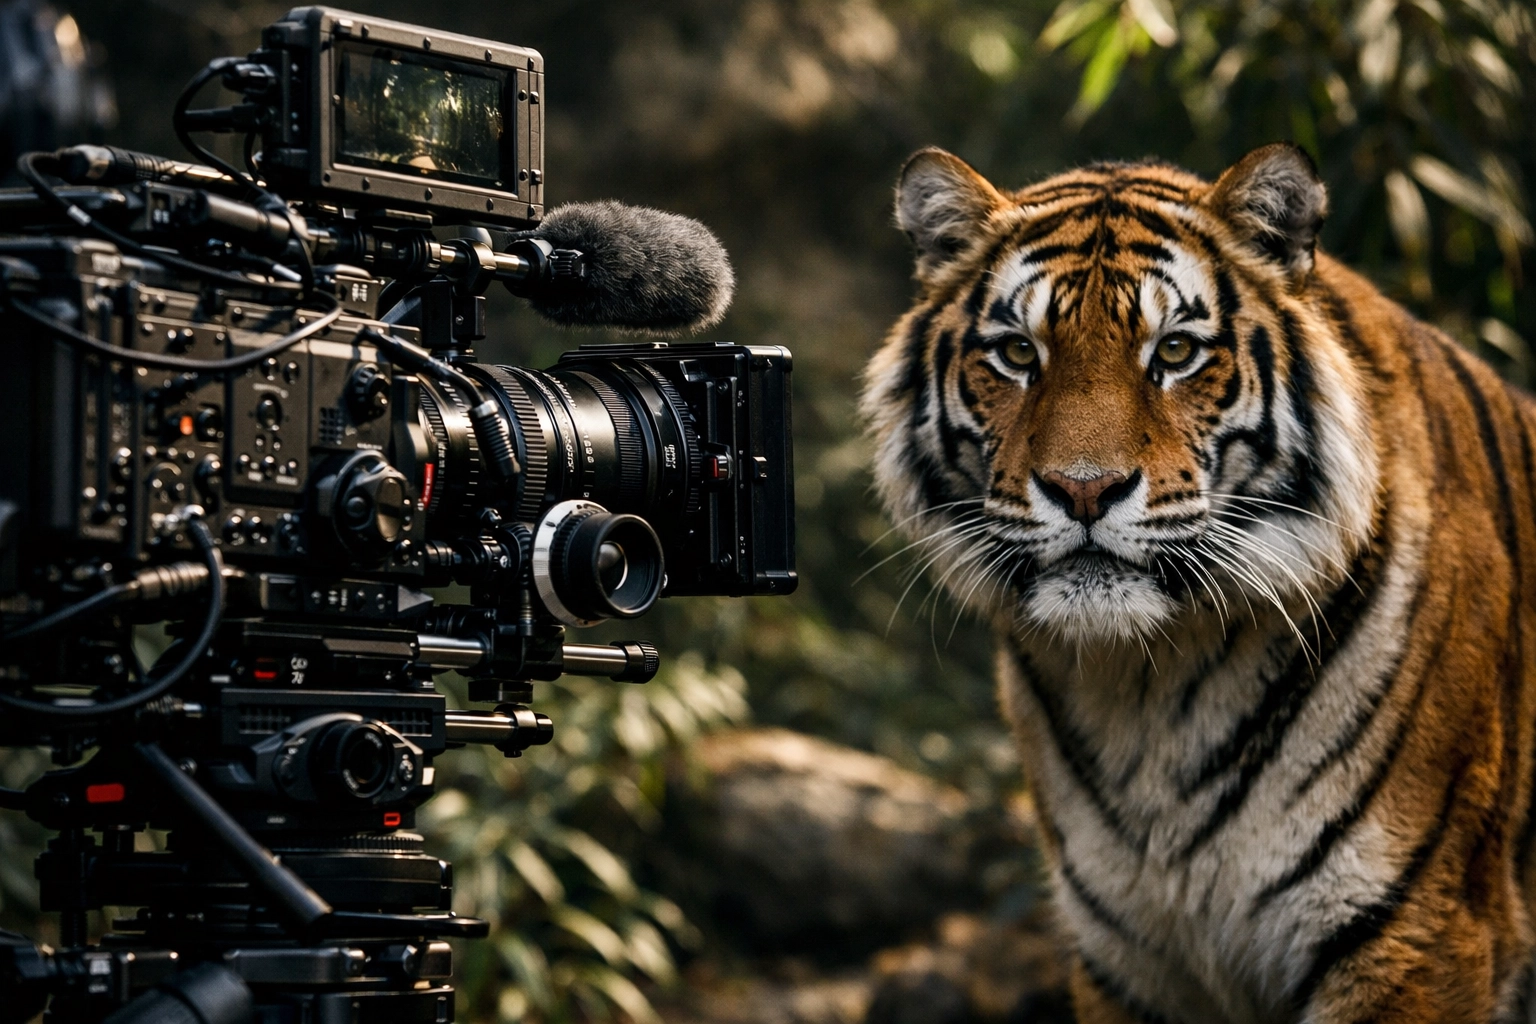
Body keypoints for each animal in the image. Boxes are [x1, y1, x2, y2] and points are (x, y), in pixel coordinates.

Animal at [861, 142, 1536, 1023]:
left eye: (1175, 353)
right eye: (1018, 353)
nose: (1084, 488)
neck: (1148, 690)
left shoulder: (1417, 935)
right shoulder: (1128, 959)